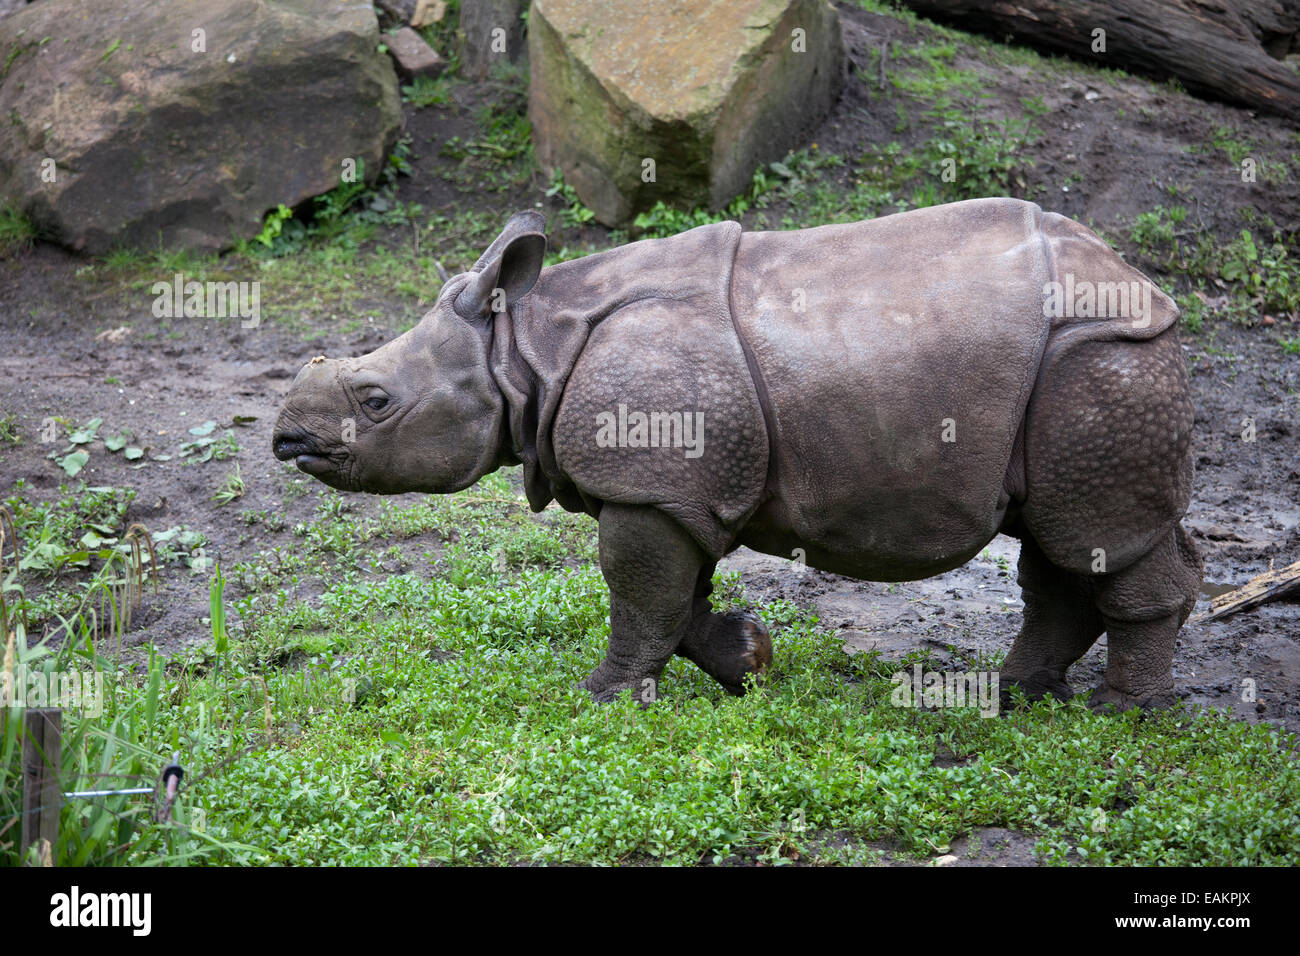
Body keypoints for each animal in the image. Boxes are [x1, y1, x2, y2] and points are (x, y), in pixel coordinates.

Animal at [273, 198, 1202, 710]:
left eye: (375, 402)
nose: (287, 438)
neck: (525, 349)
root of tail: (1142, 281)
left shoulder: (648, 486)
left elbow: (640, 596)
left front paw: (603, 699)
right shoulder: (678, 486)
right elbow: (674, 600)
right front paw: (749, 660)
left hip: (1099, 357)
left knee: (1098, 532)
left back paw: (1125, 715)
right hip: (1077, 367)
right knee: (1062, 540)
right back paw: (1018, 696)